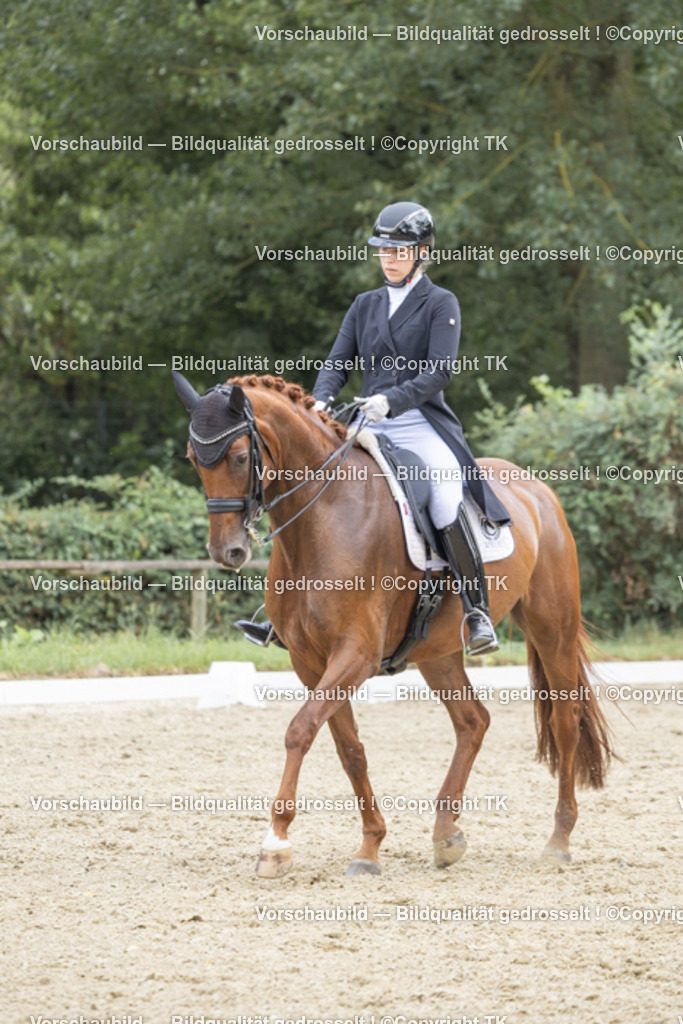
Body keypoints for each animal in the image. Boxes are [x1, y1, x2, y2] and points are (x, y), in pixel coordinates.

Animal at [172, 371, 614, 878]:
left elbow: (299, 731)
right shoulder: (311, 662)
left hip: (551, 627)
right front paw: (369, 847)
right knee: (473, 722)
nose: (227, 552)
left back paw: (558, 841)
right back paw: (445, 835)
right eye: (194, 460)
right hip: (438, 651)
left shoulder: (356, 654)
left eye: (242, 457)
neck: (322, 517)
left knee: (565, 720)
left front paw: (276, 843)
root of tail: (537, 489)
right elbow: (349, 751)